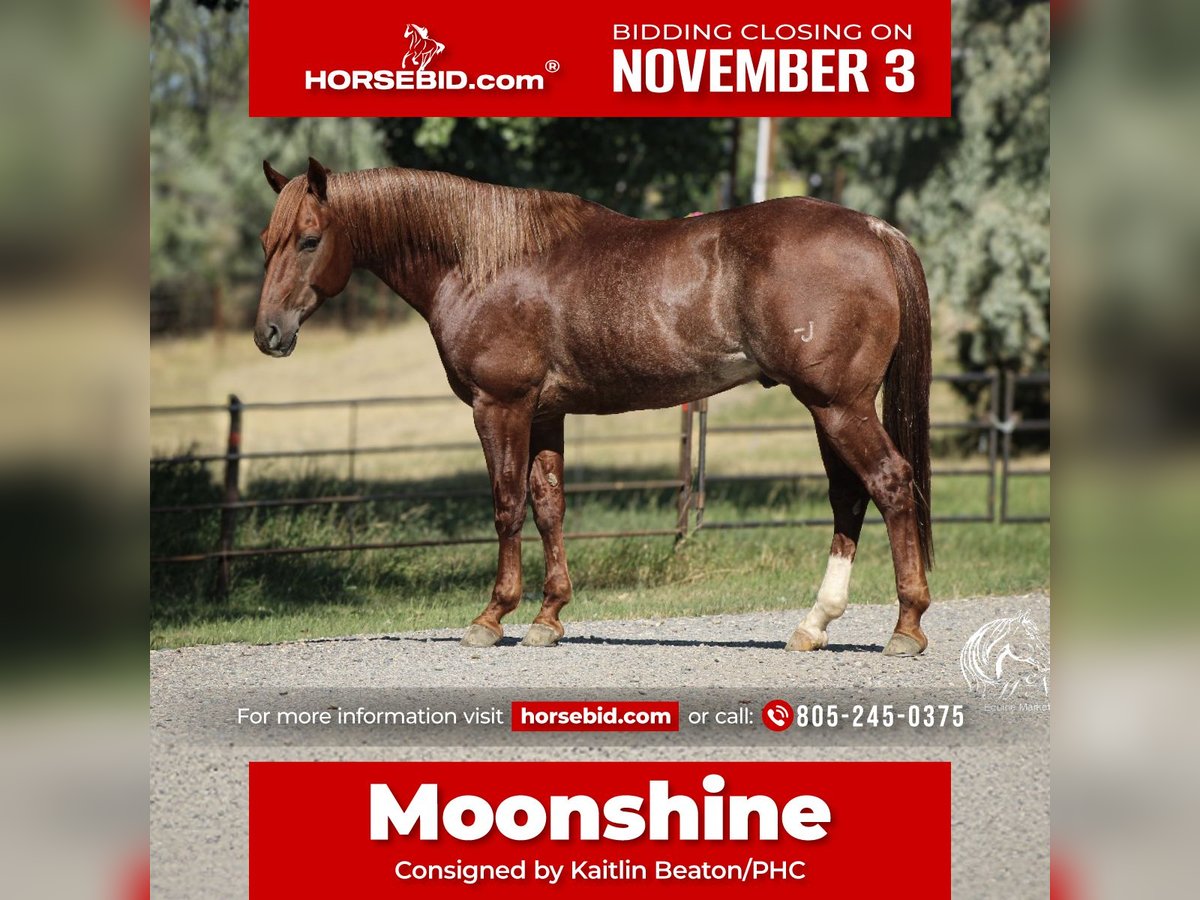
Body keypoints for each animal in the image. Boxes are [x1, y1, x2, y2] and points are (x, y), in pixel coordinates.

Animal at [254, 157, 934, 656]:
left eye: (309, 240)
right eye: (267, 241)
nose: (269, 333)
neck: (482, 261)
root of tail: (875, 231)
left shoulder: (500, 406)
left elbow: (507, 506)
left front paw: (491, 617)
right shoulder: (544, 413)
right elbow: (549, 506)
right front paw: (548, 617)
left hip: (838, 406)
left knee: (890, 484)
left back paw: (905, 627)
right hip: (832, 409)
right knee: (849, 498)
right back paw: (813, 626)